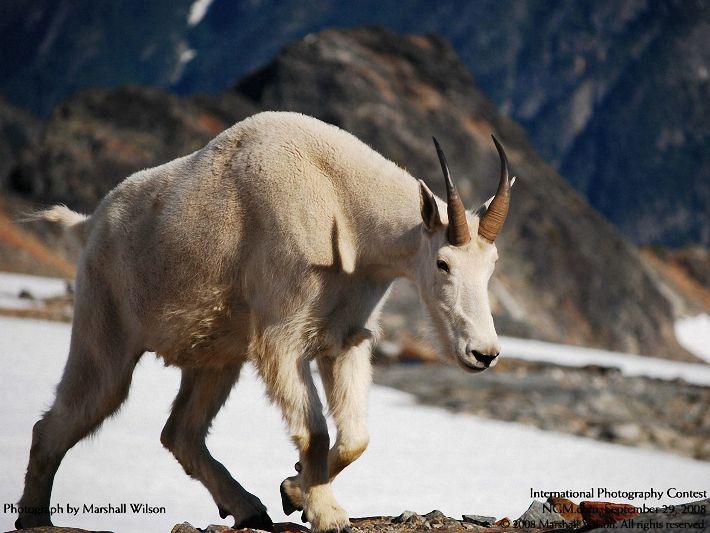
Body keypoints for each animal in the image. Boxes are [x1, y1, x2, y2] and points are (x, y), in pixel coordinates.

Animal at [16, 110, 516, 528]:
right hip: (105, 329)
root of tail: (89, 225)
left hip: (214, 355)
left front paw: (293, 490)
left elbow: (355, 437)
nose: (483, 353)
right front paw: (326, 513)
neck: (341, 203)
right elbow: (314, 431)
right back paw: (35, 518)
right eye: (443, 263)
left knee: (180, 433)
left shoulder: (346, 337)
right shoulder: (282, 337)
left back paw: (248, 507)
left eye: (492, 265)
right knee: (66, 417)